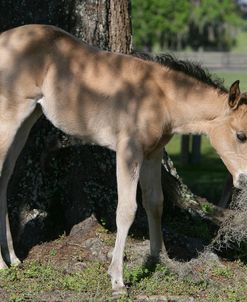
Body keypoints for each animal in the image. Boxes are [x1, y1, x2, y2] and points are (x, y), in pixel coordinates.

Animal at [0, 24, 247, 294]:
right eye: (241, 135)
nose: (244, 179)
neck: (161, 97)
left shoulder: (152, 154)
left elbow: (155, 202)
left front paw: (159, 257)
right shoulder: (129, 151)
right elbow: (127, 210)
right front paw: (117, 281)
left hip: (29, 118)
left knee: (5, 176)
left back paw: (13, 259)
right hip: (10, 117)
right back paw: (3, 264)